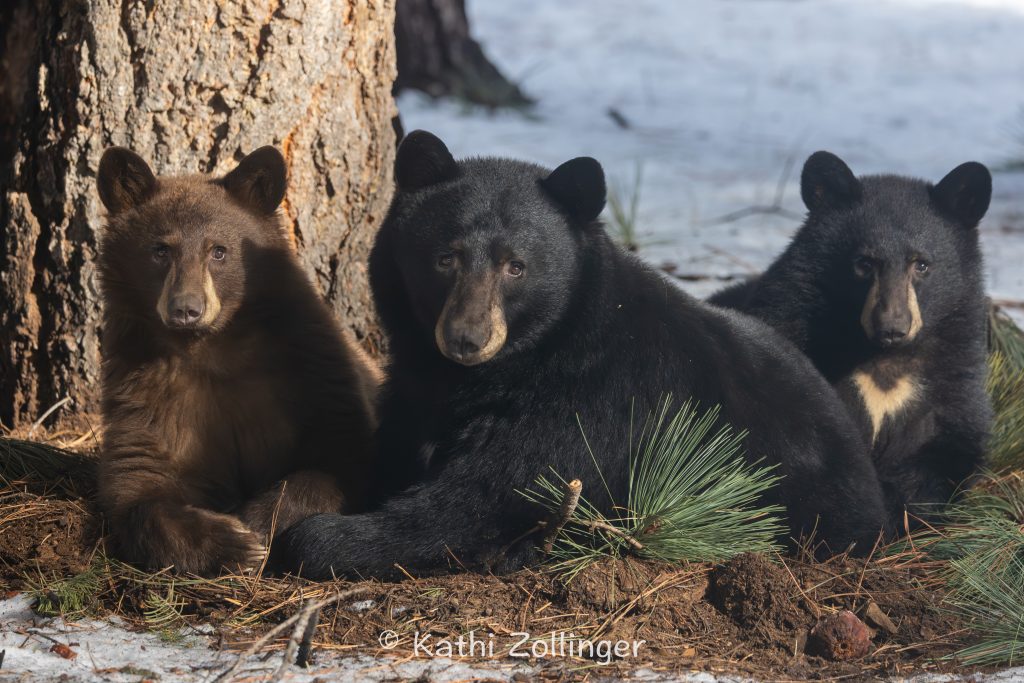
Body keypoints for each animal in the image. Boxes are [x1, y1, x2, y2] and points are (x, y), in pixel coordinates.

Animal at [95, 145, 380, 575]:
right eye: (161, 250)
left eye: (219, 250)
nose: (186, 309)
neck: (213, 350)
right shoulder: (146, 391)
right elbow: (139, 481)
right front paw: (231, 542)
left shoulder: (312, 369)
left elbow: (338, 455)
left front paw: (257, 527)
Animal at [273, 131, 889, 581]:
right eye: (445, 257)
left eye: (516, 266)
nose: (467, 337)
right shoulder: (414, 388)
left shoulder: (588, 404)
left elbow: (478, 499)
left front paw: (313, 538)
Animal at [710, 151, 993, 528]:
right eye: (864, 263)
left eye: (921, 264)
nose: (892, 327)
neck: (880, 360)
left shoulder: (953, 371)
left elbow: (951, 441)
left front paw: (902, 506)